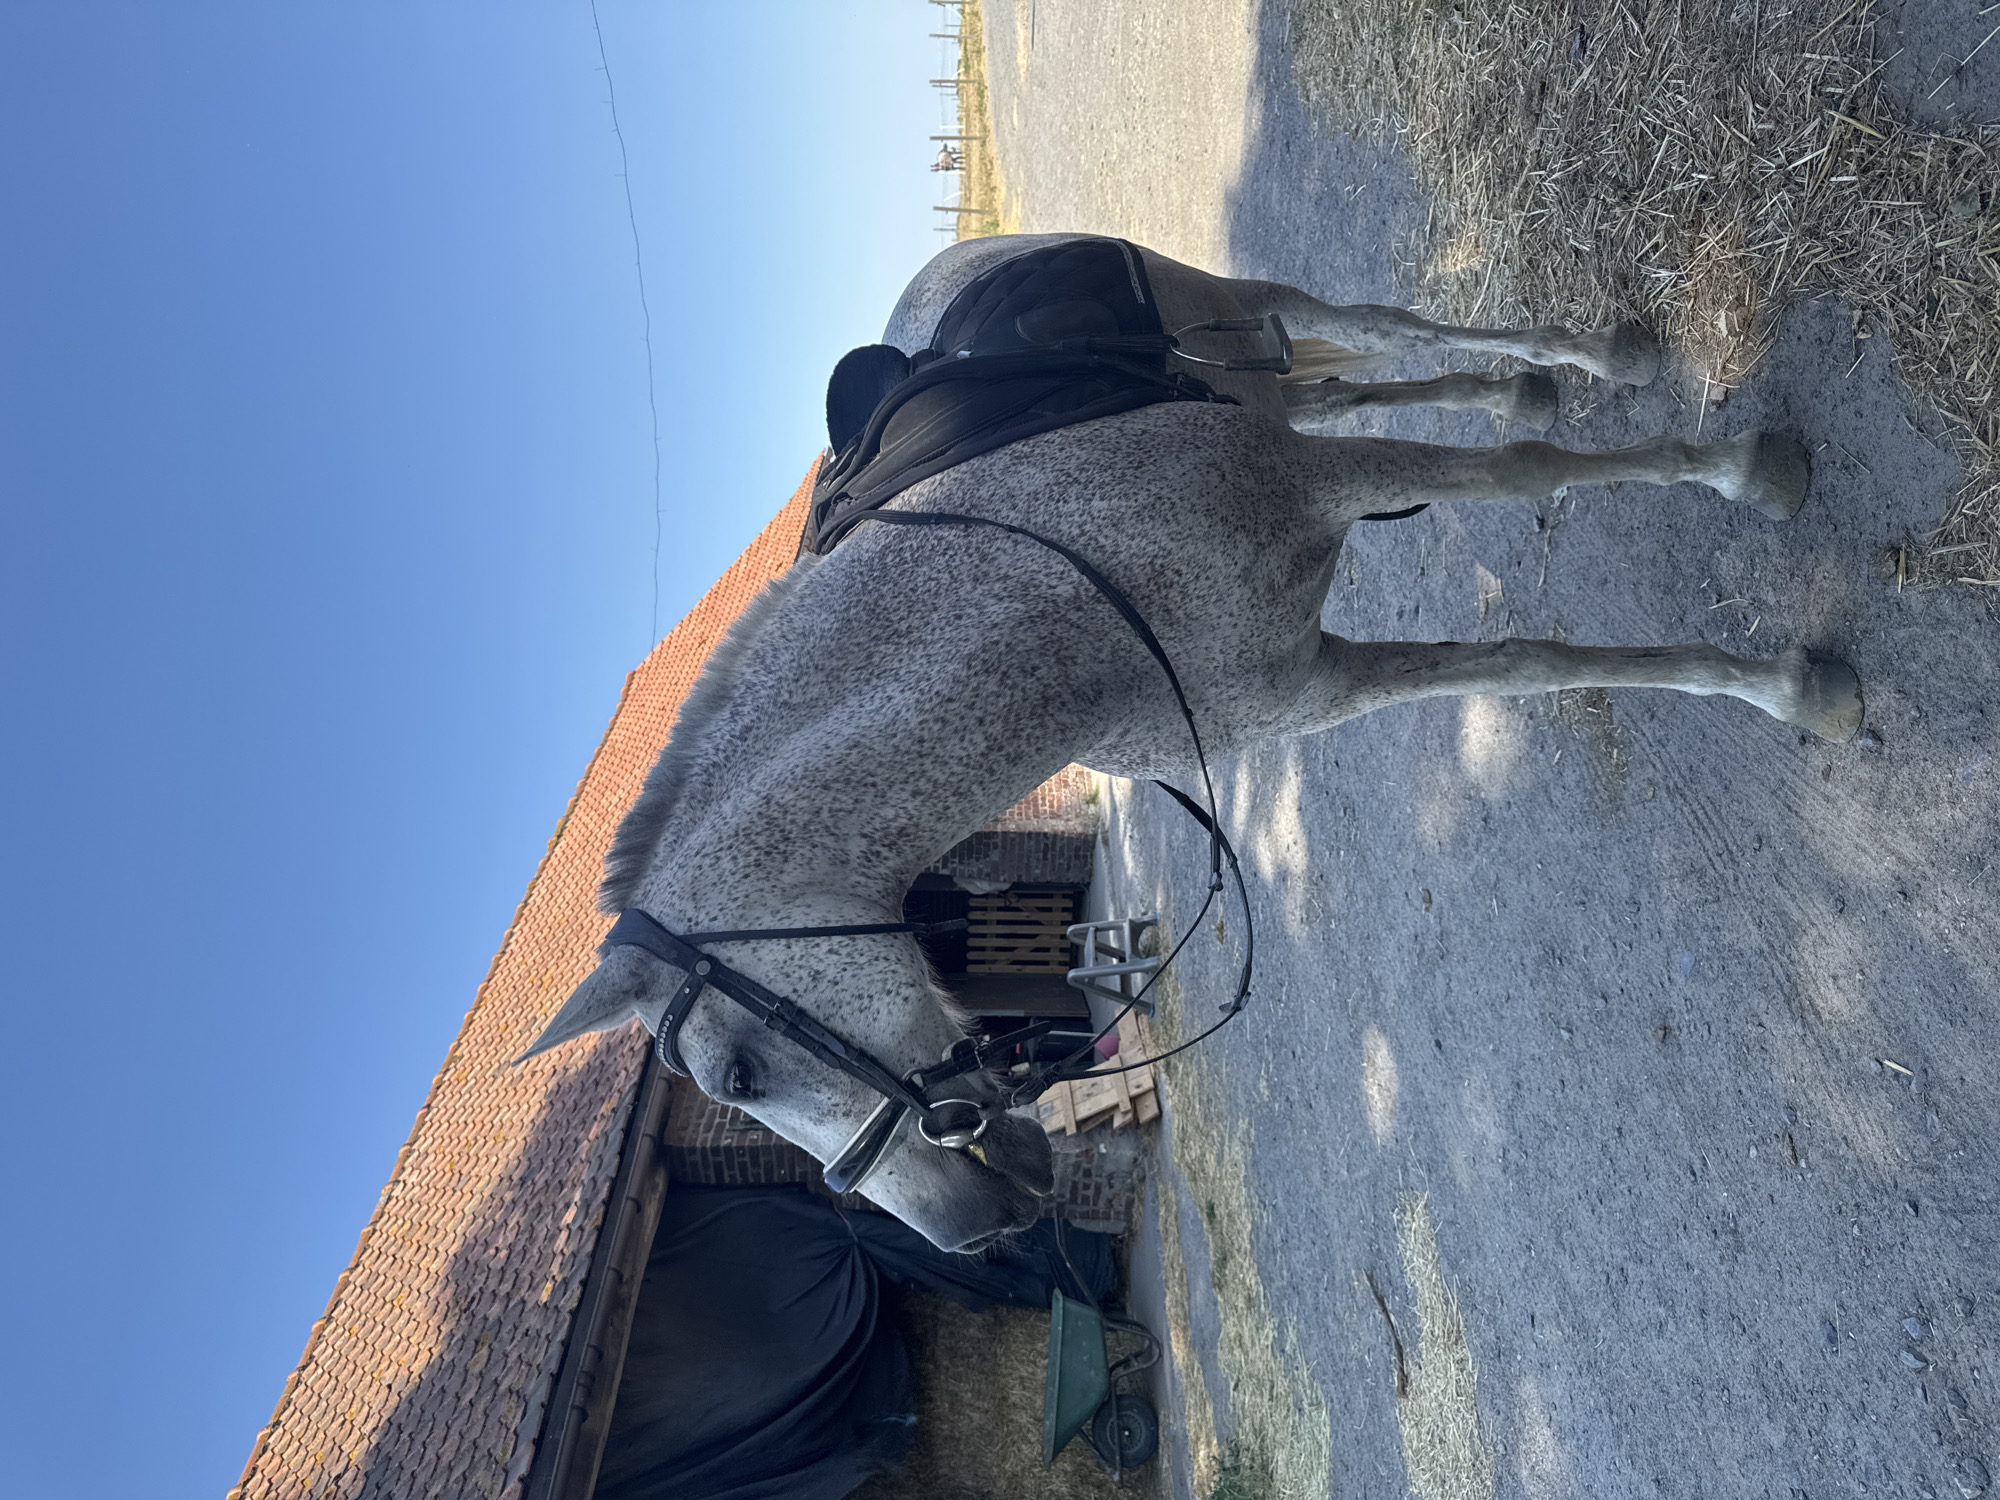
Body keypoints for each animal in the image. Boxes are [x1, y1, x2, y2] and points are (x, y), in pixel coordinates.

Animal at [522, 233, 1862, 1252]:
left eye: (739, 1079)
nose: (967, 1232)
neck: (1051, 600)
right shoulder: (1306, 682)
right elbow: (1522, 664)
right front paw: (1773, 679)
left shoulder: (1311, 491)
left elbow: (1528, 480)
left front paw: (1757, 517)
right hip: (1257, 379)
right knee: (1360, 382)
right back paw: (1522, 386)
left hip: (1243, 309)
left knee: (1377, 324)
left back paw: (1594, 361)